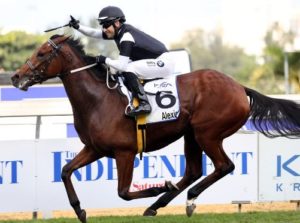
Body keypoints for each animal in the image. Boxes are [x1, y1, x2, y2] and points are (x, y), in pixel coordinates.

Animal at [11, 34, 300, 221]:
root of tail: (240, 87)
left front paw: (161, 186)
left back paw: (186, 198)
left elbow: (124, 193)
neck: (98, 99)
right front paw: (80, 210)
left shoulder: (124, 152)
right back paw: (160, 204)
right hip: (191, 134)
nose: (15, 76)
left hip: (208, 133)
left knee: (223, 166)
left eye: (42, 53)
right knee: (194, 171)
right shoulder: (95, 149)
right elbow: (65, 171)